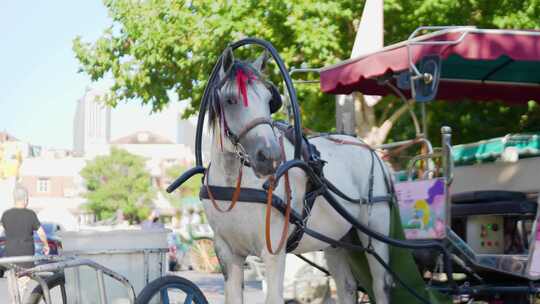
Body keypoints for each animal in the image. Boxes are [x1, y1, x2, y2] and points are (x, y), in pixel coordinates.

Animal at [200, 47, 390, 304]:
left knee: (380, 286)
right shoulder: (226, 252)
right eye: (231, 100)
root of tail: (369, 150)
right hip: (336, 240)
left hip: (375, 231)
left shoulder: (273, 252)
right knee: (347, 286)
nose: (270, 156)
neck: (235, 187)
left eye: (268, 100)